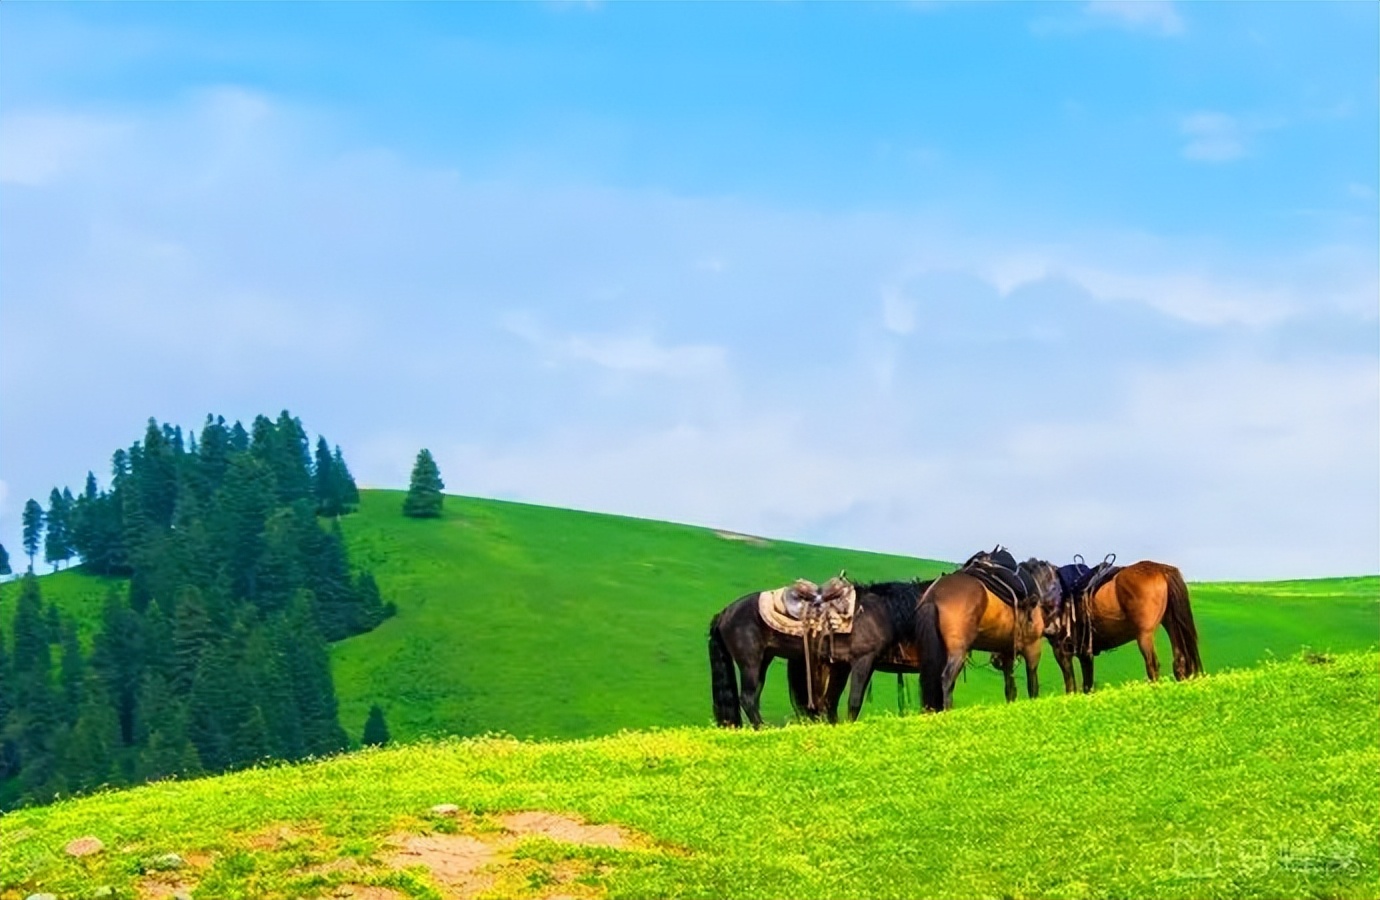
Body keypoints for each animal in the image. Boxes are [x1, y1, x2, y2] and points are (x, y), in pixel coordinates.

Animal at [712, 576, 927, 728]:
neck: (878, 612)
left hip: (764, 658)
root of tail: (725, 612)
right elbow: (854, 701)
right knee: (748, 698)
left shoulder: (841, 665)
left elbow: (831, 703)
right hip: (750, 662)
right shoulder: (862, 660)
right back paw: (764, 728)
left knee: (754, 696)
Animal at [916, 552, 1065, 712]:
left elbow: (1010, 689)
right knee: (947, 680)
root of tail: (934, 596)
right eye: (1059, 590)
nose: (1056, 629)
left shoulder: (1007, 653)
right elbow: (1033, 687)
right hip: (958, 652)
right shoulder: (1033, 648)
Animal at [1037, 557, 1203, 692]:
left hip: (1144, 635)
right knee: (1179, 662)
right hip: (1170, 623)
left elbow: (1071, 686)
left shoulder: (1061, 650)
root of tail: (1161, 570)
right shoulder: (1085, 654)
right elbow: (1087, 685)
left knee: (1153, 666)